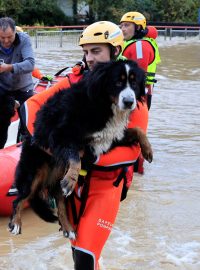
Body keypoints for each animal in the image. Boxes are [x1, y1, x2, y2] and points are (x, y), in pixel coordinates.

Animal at [7, 59, 152, 238]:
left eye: (134, 83)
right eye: (118, 82)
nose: (129, 102)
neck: (104, 105)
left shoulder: (112, 138)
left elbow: (137, 130)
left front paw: (147, 149)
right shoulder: (61, 135)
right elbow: (76, 158)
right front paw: (71, 179)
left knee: (60, 201)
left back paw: (68, 227)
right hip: (34, 173)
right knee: (19, 198)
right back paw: (16, 223)